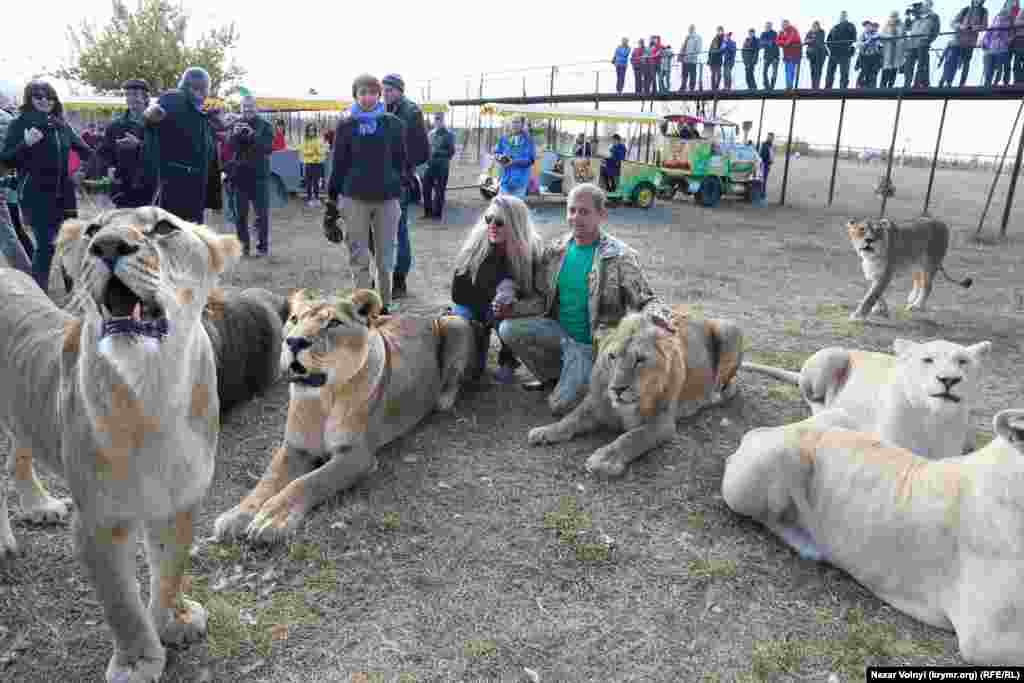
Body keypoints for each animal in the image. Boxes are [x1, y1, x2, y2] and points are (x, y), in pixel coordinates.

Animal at [0, 206, 241, 683]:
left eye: (164, 227)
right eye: (93, 230)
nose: (108, 246)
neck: (154, 392)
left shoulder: (179, 503)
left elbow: (171, 568)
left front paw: (174, 621)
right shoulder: (97, 522)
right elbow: (120, 603)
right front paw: (136, 661)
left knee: (18, 456)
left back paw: (39, 506)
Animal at [214, 286, 477, 544]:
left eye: (333, 323)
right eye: (294, 319)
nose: (294, 342)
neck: (322, 399)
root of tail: (423, 314)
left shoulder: (357, 456)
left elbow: (310, 481)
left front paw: (272, 518)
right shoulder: (294, 446)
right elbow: (267, 480)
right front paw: (237, 515)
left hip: (455, 324)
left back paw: (442, 401)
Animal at [528, 307, 745, 479]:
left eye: (640, 360)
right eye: (612, 356)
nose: (617, 390)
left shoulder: (662, 423)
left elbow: (632, 437)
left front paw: (605, 459)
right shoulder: (596, 403)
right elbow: (571, 418)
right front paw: (545, 431)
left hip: (729, 329)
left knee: (730, 385)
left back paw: (712, 397)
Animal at [745, 339, 991, 462]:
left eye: (963, 361)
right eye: (928, 360)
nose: (949, 379)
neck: (932, 418)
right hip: (835, 355)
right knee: (814, 397)